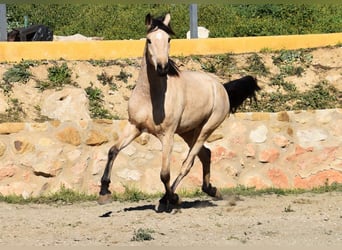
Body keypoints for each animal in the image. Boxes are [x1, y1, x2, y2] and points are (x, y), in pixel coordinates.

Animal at [98, 13, 260, 209]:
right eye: (149, 40)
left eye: (168, 39)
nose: (162, 67)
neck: (150, 98)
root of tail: (221, 87)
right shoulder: (135, 126)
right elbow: (112, 150)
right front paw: (104, 192)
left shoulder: (167, 135)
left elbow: (164, 173)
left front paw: (171, 199)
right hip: (188, 131)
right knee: (205, 154)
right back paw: (211, 190)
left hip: (205, 129)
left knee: (188, 163)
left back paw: (171, 198)